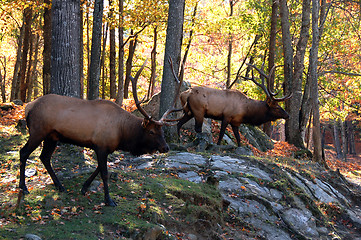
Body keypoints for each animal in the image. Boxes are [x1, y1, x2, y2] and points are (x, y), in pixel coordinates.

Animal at [18, 58, 181, 206]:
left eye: (162, 130)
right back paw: (24, 187)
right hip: (37, 131)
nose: (166, 147)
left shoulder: (105, 147)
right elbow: (104, 173)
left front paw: (84, 187)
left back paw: (60, 186)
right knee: (24, 152)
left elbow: (98, 169)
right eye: (152, 131)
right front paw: (108, 200)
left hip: (52, 136)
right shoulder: (101, 145)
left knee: (44, 157)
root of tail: (28, 107)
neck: (123, 135)